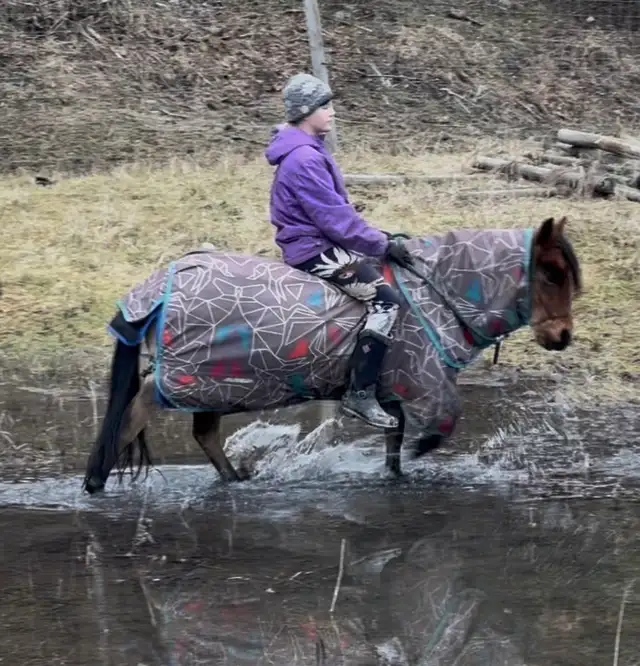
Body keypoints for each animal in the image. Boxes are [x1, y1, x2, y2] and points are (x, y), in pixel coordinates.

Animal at [82, 216, 582, 494]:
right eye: (552, 272)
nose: (562, 336)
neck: (436, 293)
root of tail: (161, 286)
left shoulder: (392, 392)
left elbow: (394, 442)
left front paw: (397, 476)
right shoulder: (424, 382)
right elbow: (441, 424)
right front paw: (420, 452)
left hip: (215, 385)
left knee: (204, 434)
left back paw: (237, 480)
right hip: (192, 380)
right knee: (136, 409)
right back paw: (95, 482)